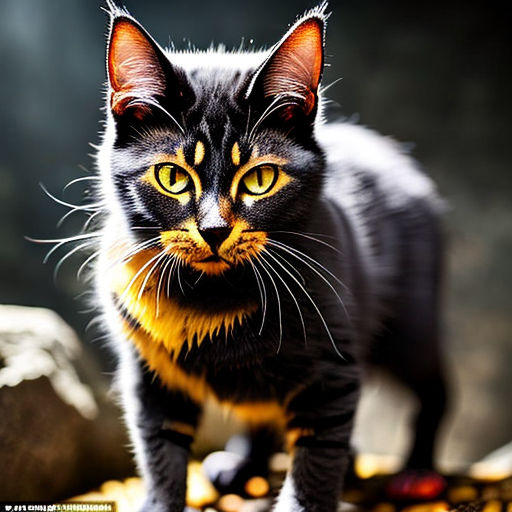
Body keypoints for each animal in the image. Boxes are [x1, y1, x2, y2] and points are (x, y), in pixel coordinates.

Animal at [90, 1, 450, 512]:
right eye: (171, 177)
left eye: (260, 179)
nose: (214, 230)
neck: (213, 294)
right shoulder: (149, 374)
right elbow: (159, 451)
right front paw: (160, 500)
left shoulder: (332, 373)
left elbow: (316, 460)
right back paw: (244, 464)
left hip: (411, 325)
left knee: (434, 387)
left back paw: (418, 470)